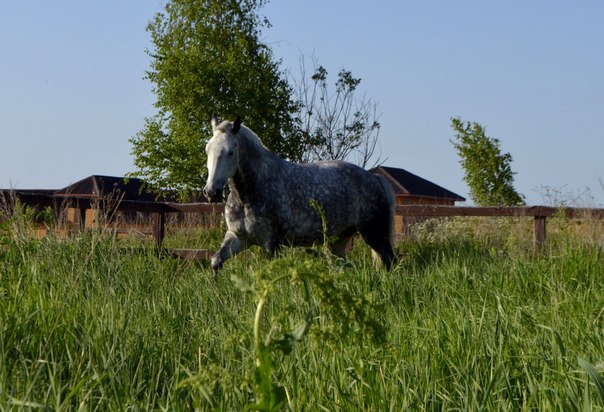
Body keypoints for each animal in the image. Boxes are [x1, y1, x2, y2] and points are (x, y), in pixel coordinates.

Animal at [203, 117, 397, 275]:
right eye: (207, 149)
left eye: (230, 151)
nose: (211, 191)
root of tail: (375, 178)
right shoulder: (237, 237)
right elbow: (216, 262)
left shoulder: (271, 243)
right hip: (338, 241)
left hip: (375, 235)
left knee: (390, 262)